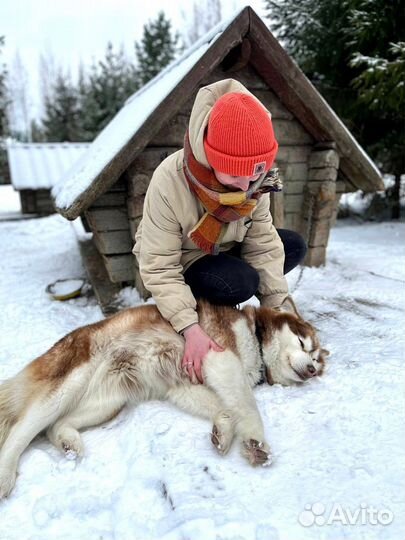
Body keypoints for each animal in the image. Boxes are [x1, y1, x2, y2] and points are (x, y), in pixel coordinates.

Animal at [0, 300, 326, 498]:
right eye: (303, 344)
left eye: (317, 361)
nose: (311, 370)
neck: (255, 340)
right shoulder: (220, 360)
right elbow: (247, 405)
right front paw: (257, 442)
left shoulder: (182, 385)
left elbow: (226, 408)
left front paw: (223, 429)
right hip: (68, 385)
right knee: (20, 431)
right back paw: (5, 477)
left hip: (108, 402)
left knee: (55, 426)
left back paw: (69, 443)